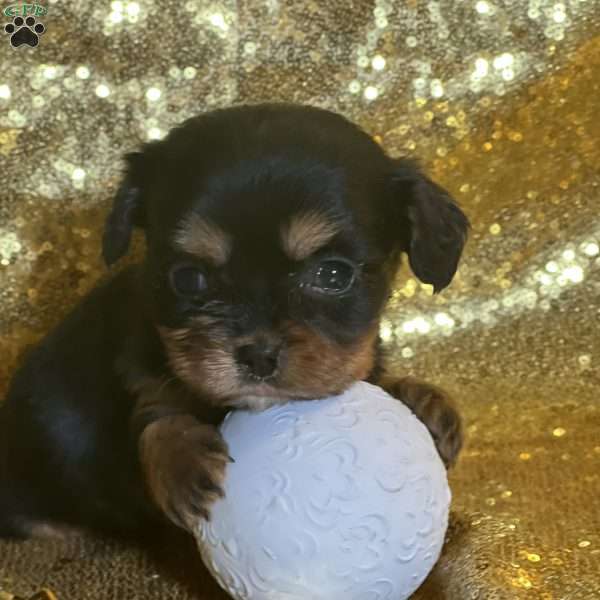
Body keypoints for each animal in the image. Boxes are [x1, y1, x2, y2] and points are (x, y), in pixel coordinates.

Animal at [0, 103, 468, 540]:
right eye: (188, 278)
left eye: (334, 275)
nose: (258, 356)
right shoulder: (135, 371)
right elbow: (155, 411)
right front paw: (181, 459)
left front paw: (423, 400)